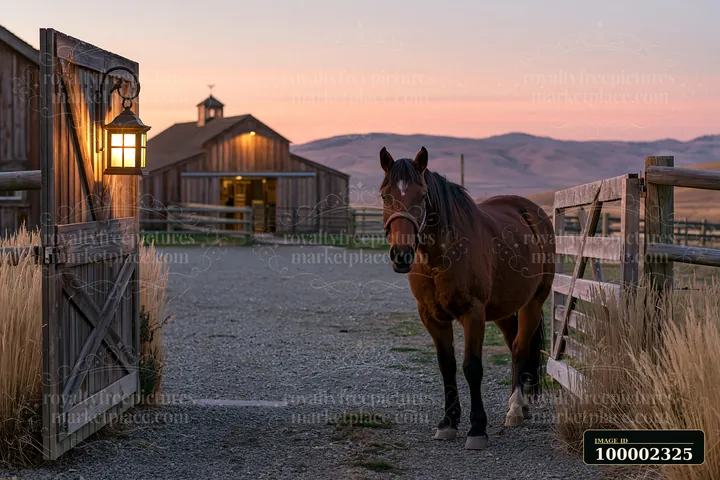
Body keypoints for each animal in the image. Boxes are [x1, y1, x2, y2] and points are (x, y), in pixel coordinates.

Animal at [378, 146, 555, 450]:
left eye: (422, 195)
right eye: (384, 195)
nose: (401, 254)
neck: (440, 257)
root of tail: (532, 212)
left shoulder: (473, 313)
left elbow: (472, 367)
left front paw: (477, 429)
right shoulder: (432, 317)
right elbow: (447, 366)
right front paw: (448, 422)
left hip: (532, 303)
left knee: (520, 347)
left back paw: (516, 409)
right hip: (503, 310)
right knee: (514, 344)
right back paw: (520, 403)